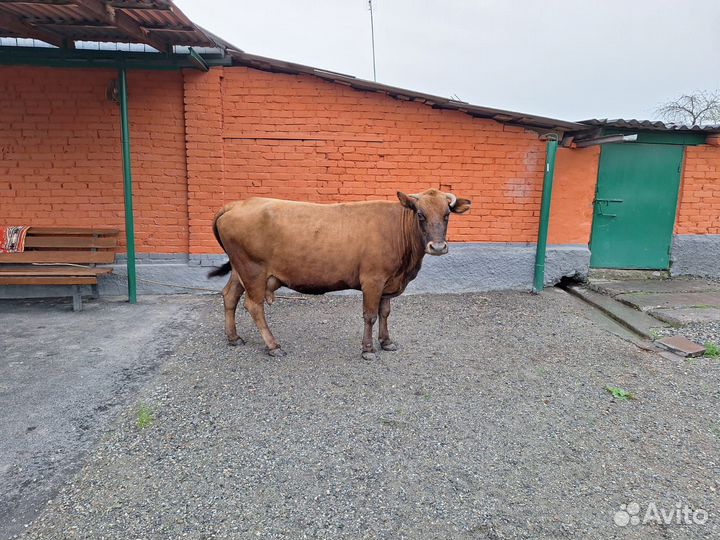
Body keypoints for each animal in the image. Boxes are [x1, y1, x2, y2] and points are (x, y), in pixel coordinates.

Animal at [208, 189, 472, 360]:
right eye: (420, 214)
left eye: (447, 215)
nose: (438, 247)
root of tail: (238, 204)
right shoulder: (373, 279)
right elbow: (370, 315)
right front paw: (368, 350)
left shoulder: (388, 281)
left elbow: (385, 312)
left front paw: (386, 342)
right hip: (253, 270)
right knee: (254, 306)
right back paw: (273, 346)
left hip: (239, 269)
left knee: (229, 296)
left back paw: (233, 337)